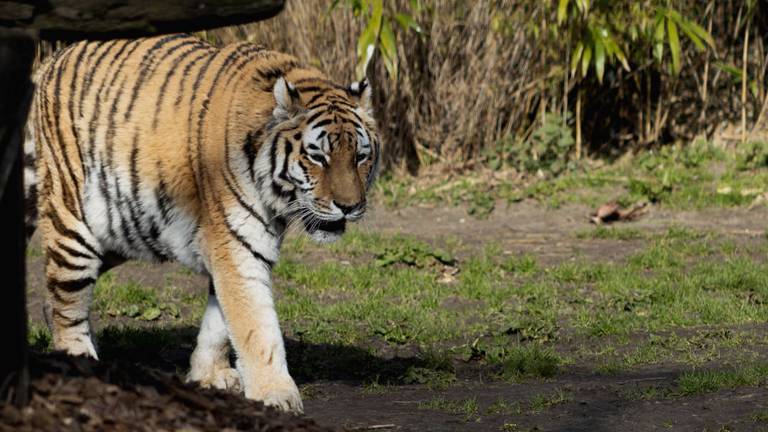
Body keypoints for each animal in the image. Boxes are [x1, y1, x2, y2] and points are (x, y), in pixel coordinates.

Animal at [25, 33, 380, 412]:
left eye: (360, 157)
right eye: (318, 157)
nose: (349, 207)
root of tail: (51, 61)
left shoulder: (239, 247)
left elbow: (219, 323)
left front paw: (210, 375)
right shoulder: (238, 247)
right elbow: (256, 326)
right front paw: (276, 393)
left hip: (121, 228)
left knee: (56, 297)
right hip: (75, 222)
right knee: (68, 299)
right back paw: (78, 359)